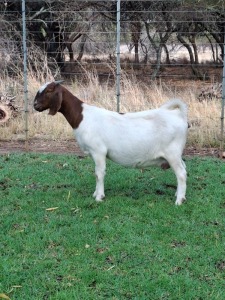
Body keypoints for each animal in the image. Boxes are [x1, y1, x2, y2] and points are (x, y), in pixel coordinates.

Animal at [33, 81, 188, 205]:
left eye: (48, 91)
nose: (35, 105)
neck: (82, 116)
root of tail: (180, 117)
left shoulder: (98, 151)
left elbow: (99, 173)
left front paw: (99, 197)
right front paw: (95, 194)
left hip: (172, 153)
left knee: (181, 173)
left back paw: (179, 200)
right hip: (176, 154)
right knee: (184, 170)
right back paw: (179, 194)